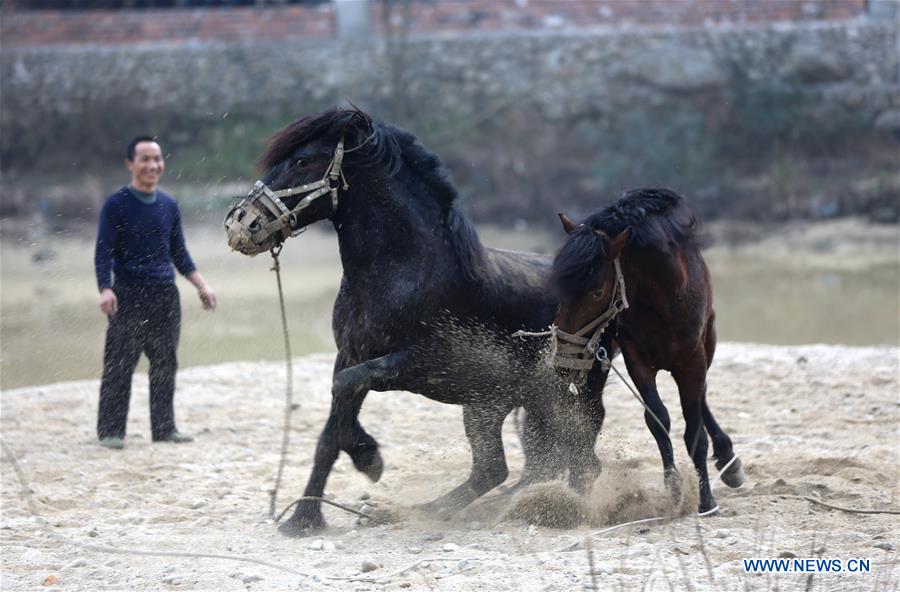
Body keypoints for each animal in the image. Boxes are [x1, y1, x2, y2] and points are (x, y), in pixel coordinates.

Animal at [223, 107, 612, 536]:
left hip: (556, 396)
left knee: (573, 459)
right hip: (498, 403)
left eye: (301, 161)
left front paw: (369, 460)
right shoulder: (351, 353)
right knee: (506, 467)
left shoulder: (425, 362)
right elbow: (330, 431)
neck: (403, 271)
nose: (239, 224)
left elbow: (346, 388)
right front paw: (304, 518)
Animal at [548, 188, 744, 512]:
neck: (662, 299)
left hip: (708, 343)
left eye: (597, 292)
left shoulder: (692, 359)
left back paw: (728, 458)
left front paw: (706, 500)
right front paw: (673, 488)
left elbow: (694, 430)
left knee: (702, 396)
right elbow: (657, 418)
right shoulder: (636, 358)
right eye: (558, 287)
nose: (563, 360)